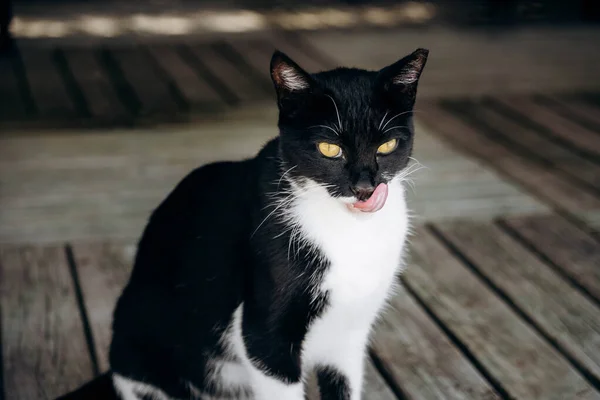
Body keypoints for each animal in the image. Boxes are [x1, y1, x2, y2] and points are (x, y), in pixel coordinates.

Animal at [59, 47, 426, 400]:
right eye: (329, 148)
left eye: (387, 145)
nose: (365, 188)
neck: (351, 230)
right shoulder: (264, 336)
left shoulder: (349, 336)